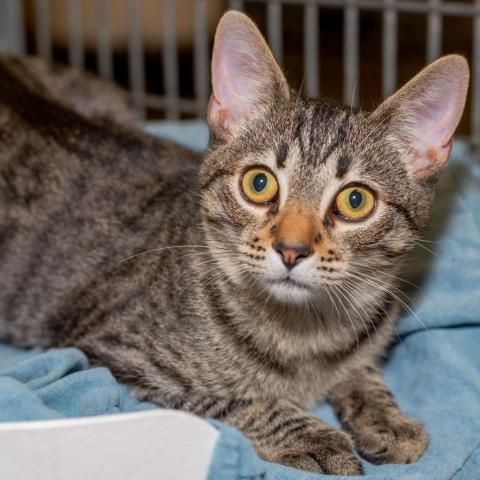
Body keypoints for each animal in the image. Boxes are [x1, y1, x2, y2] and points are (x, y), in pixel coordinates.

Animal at [0, 9, 466, 474]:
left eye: (356, 200)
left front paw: (386, 416)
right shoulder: (112, 357)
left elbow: (361, 368)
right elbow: (235, 398)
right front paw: (312, 436)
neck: (305, 335)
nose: (291, 249)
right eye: (259, 183)